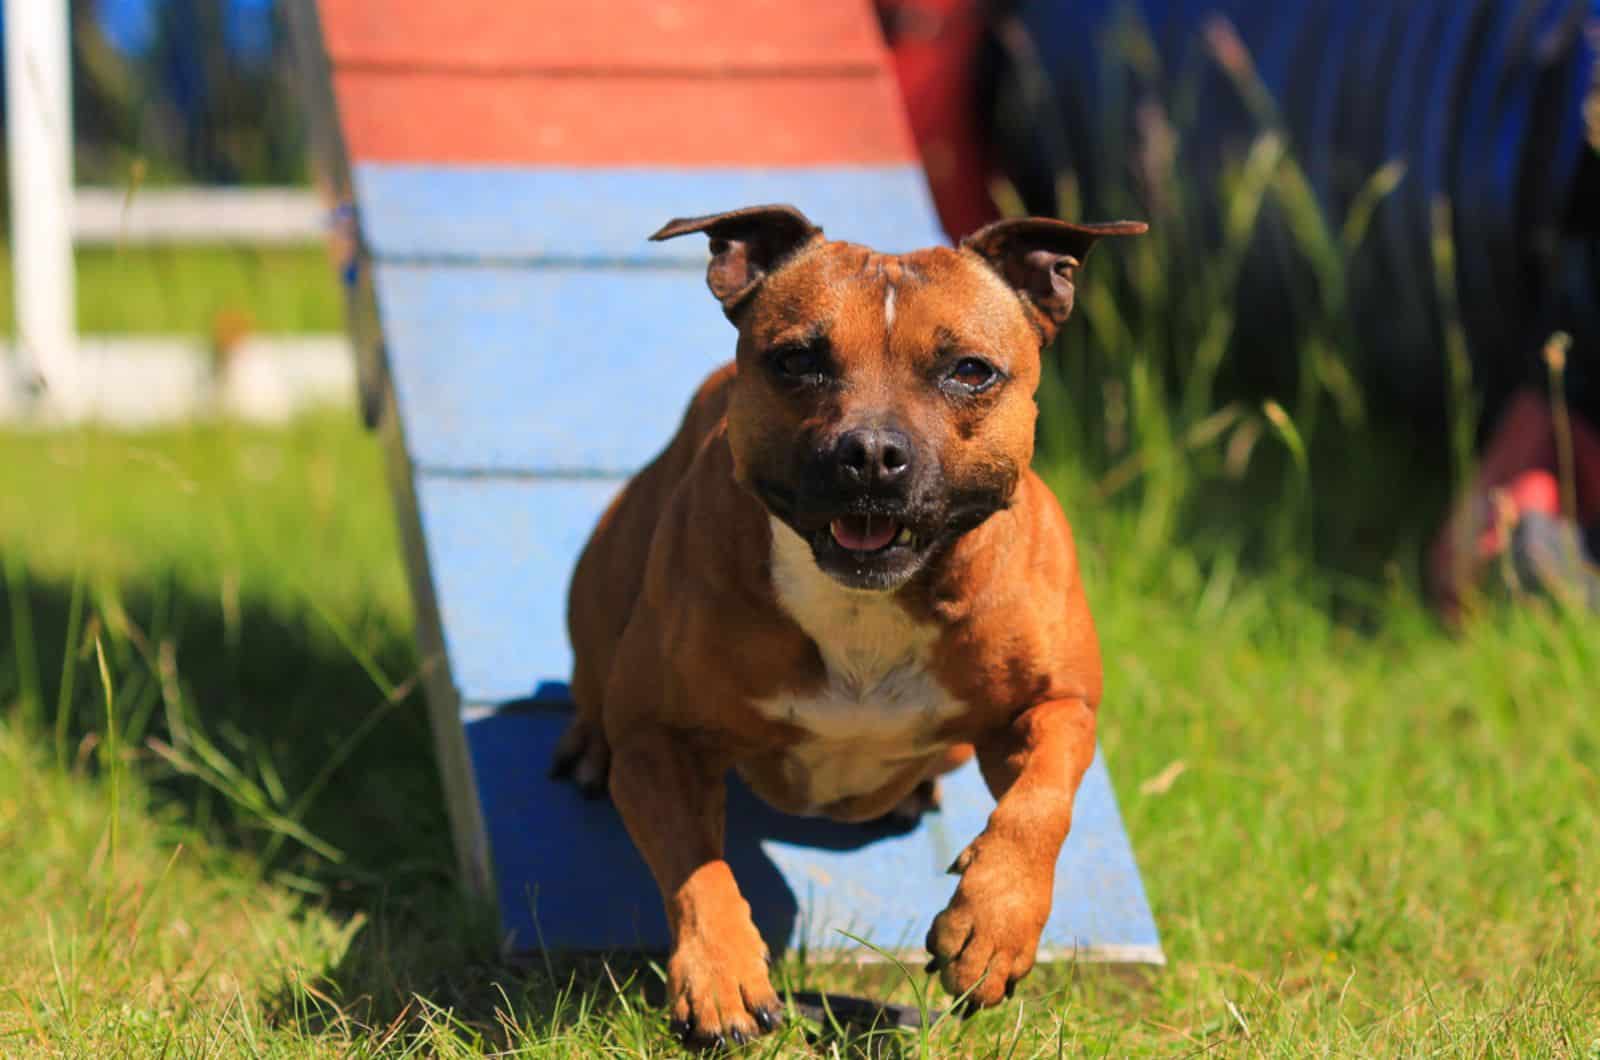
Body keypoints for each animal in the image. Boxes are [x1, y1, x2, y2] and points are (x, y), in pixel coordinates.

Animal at [556, 203, 1145, 1050]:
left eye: (971, 370)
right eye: (798, 361)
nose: (870, 452)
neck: (868, 606)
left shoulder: (1055, 705)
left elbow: (1040, 805)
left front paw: (992, 926)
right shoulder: (659, 737)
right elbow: (696, 865)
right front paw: (721, 973)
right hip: (604, 586)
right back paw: (586, 746)